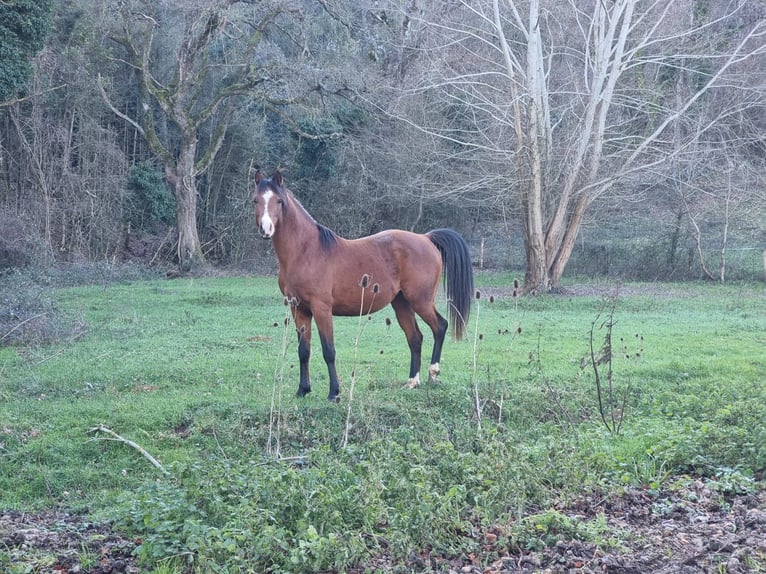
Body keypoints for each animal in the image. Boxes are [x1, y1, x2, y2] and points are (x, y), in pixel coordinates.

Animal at [252, 169, 474, 402]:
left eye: (279, 201)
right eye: (255, 200)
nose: (266, 229)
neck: (306, 251)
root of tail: (426, 238)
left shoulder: (321, 308)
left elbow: (328, 351)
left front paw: (334, 393)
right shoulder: (299, 309)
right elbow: (304, 351)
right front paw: (303, 390)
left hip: (420, 300)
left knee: (440, 326)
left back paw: (433, 373)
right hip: (402, 303)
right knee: (415, 338)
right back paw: (413, 381)